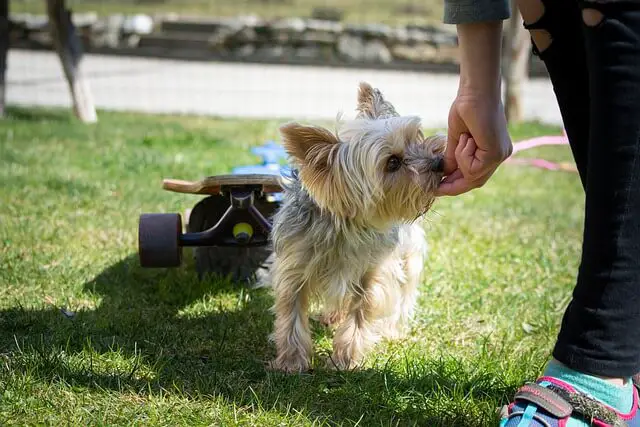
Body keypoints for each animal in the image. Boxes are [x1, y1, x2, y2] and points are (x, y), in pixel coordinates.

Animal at [266, 82, 444, 372]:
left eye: (416, 139)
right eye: (392, 162)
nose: (440, 162)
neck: (346, 225)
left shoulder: (374, 272)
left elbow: (363, 310)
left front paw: (345, 358)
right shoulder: (294, 268)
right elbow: (291, 314)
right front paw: (291, 361)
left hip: (410, 254)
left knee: (405, 293)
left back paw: (393, 330)